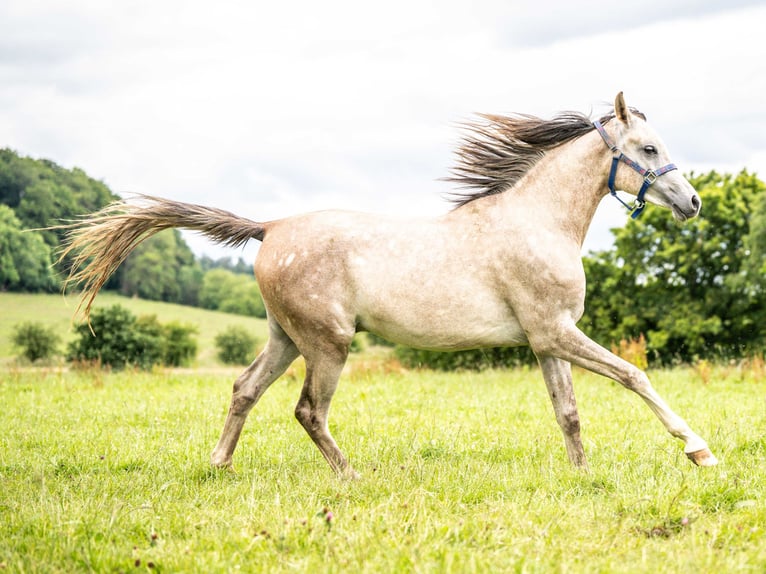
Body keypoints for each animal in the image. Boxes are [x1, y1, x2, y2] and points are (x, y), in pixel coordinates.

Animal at [58, 91, 720, 476]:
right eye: (649, 148)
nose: (692, 202)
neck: (539, 221)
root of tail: (271, 227)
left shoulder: (546, 339)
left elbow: (569, 413)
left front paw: (582, 475)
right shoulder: (557, 333)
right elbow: (635, 375)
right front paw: (698, 450)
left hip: (286, 338)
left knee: (245, 390)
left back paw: (218, 466)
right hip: (327, 344)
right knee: (308, 410)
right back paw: (350, 476)